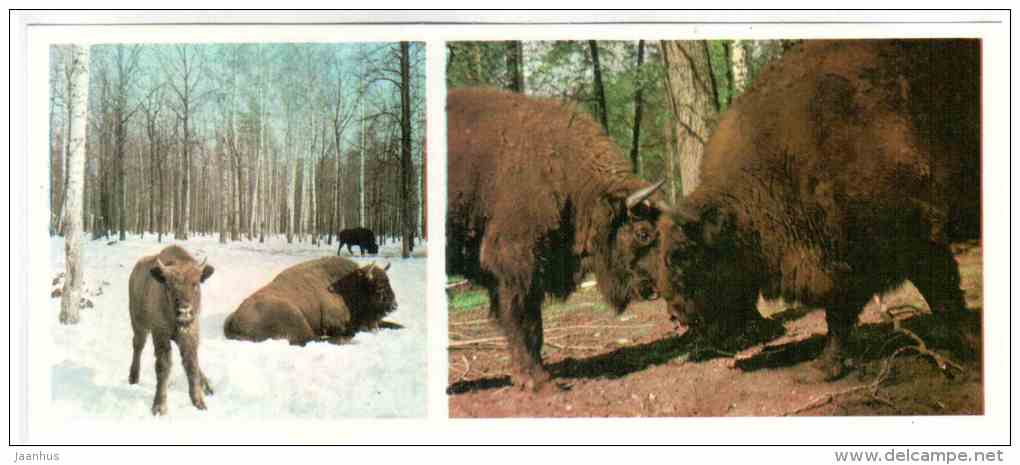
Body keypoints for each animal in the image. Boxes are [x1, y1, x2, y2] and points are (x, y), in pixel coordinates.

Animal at [128, 245, 215, 415]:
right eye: (168, 286)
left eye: (195, 283)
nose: (184, 310)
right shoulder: (160, 333)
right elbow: (163, 366)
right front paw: (159, 407)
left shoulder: (190, 333)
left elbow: (192, 364)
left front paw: (199, 403)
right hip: (139, 324)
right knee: (138, 346)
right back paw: (133, 378)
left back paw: (207, 386)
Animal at [224, 257, 397, 346]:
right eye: (378, 287)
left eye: (389, 281)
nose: (394, 306)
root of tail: (235, 318)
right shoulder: (334, 322)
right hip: (295, 316)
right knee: (311, 339)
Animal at [447, 87, 667, 390]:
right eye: (643, 233)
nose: (660, 285)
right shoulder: (515, 265)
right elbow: (522, 322)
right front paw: (537, 381)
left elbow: (532, 325)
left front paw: (530, 375)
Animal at [656, 39, 981, 381]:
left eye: (681, 256)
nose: (674, 313)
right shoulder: (845, 259)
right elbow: (839, 315)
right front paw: (828, 365)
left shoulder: (918, 238)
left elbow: (945, 297)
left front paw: (969, 351)